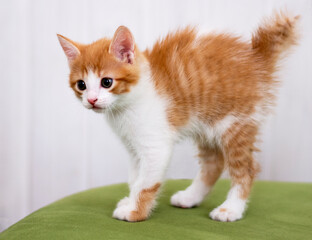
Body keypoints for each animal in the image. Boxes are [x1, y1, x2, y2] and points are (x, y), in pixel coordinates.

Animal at [57, 11, 298, 221]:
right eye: (81, 85)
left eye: (107, 82)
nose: (92, 100)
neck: (127, 105)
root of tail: (256, 57)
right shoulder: (133, 148)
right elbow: (135, 178)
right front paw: (130, 201)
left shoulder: (155, 146)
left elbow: (145, 182)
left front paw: (135, 211)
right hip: (206, 124)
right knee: (213, 164)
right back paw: (190, 197)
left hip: (235, 122)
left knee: (245, 169)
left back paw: (231, 209)